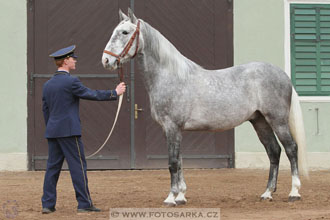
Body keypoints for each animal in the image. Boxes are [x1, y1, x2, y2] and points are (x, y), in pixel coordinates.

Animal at [102, 8, 308, 205]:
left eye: (125, 32)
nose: (106, 60)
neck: (172, 76)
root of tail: (283, 75)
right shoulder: (172, 130)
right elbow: (180, 161)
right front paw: (181, 196)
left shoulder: (172, 127)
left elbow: (173, 162)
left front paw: (171, 198)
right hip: (260, 121)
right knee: (274, 151)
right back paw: (267, 193)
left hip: (277, 120)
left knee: (291, 148)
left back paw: (294, 192)